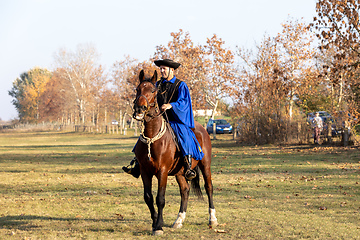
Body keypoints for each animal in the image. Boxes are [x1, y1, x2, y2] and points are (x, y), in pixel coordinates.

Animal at [131, 69, 217, 234]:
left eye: (152, 90)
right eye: (138, 89)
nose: (139, 109)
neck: (152, 138)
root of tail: (202, 129)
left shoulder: (162, 171)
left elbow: (160, 198)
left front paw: (158, 226)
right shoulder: (145, 171)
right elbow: (148, 197)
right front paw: (155, 222)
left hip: (205, 165)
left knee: (209, 187)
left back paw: (213, 219)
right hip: (180, 172)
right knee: (185, 190)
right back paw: (179, 220)